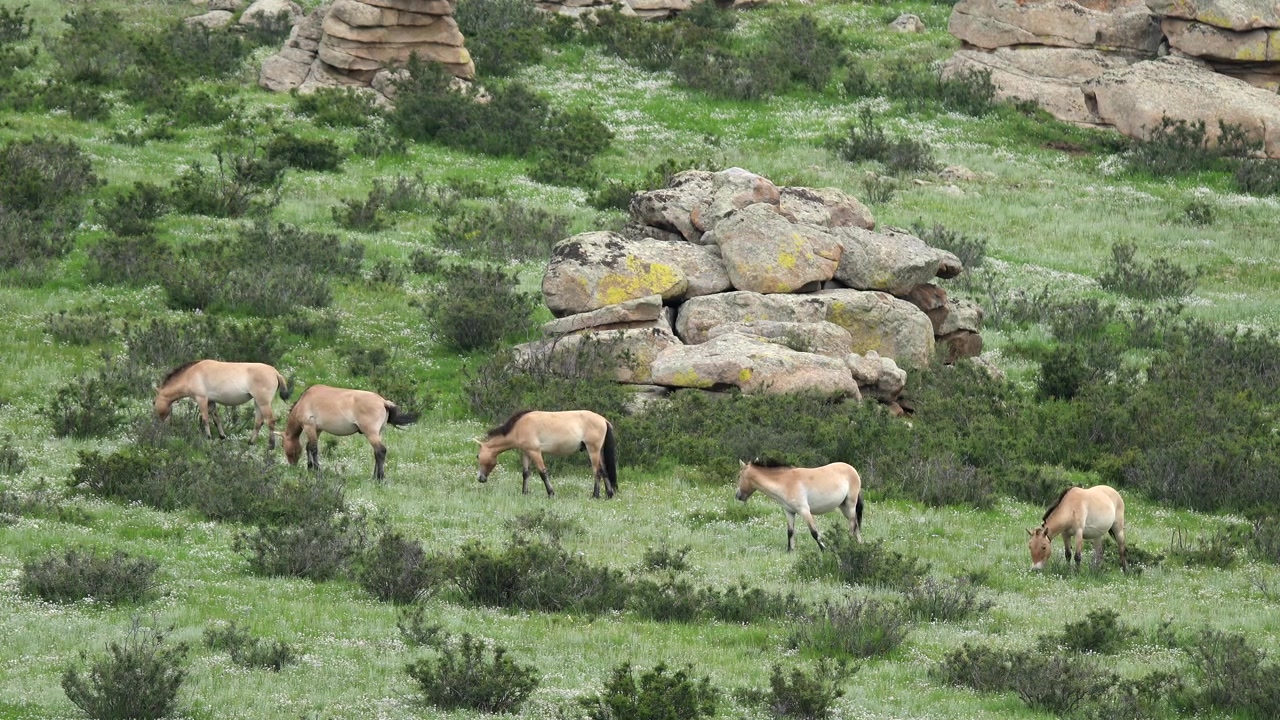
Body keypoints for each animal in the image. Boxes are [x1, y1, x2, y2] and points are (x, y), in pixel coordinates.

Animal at [154, 360, 291, 449]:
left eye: (154, 402)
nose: (160, 427)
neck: (190, 374)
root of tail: (275, 372)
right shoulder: (211, 401)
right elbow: (216, 419)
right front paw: (222, 436)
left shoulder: (201, 399)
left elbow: (205, 419)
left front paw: (208, 437)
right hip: (258, 403)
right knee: (259, 422)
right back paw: (250, 443)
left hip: (264, 403)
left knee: (270, 421)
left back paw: (271, 446)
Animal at [282, 385, 419, 481]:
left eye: (283, 446)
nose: (292, 465)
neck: (304, 400)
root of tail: (383, 402)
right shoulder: (317, 429)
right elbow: (309, 447)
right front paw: (310, 468)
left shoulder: (309, 426)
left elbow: (313, 449)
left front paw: (317, 470)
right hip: (378, 433)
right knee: (377, 453)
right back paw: (374, 476)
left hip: (371, 433)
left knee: (381, 451)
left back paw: (379, 478)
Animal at [475, 410, 617, 499]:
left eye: (478, 457)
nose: (480, 478)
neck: (519, 427)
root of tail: (603, 420)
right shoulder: (526, 453)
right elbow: (525, 473)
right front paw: (524, 493)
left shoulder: (535, 452)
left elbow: (543, 473)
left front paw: (551, 493)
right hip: (598, 452)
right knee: (604, 471)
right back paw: (609, 494)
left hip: (593, 451)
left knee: (597, 472)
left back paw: (595, 495)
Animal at [735, 459, 863, 552]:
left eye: (739, 476)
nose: (738, 496)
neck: (785, 483)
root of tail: (852, 469)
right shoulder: (789, 512)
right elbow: (790, 532)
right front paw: (790, 550)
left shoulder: (804, 511)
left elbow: (814, 532)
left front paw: (824, 549)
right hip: (844, 507)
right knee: (856, 524)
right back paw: (858, 544)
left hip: (850, 505)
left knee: (853, 525)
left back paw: (849, 543)